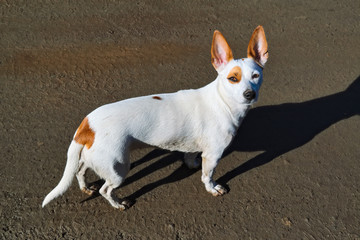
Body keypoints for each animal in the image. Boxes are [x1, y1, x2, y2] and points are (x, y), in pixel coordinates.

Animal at [42, 25, 268, 210]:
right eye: (233, 78)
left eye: (256, 76)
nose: (250, 94)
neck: (222, 101)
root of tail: (87, 124)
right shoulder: (213, 155)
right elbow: (207, 176)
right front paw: (212, 188)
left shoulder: (194, 146)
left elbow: (190, 156)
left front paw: (191, 164)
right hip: (118, 168)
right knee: (105, 190)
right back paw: (118, 204)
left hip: (92, 159)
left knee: (80, 171)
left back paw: (86, 187)